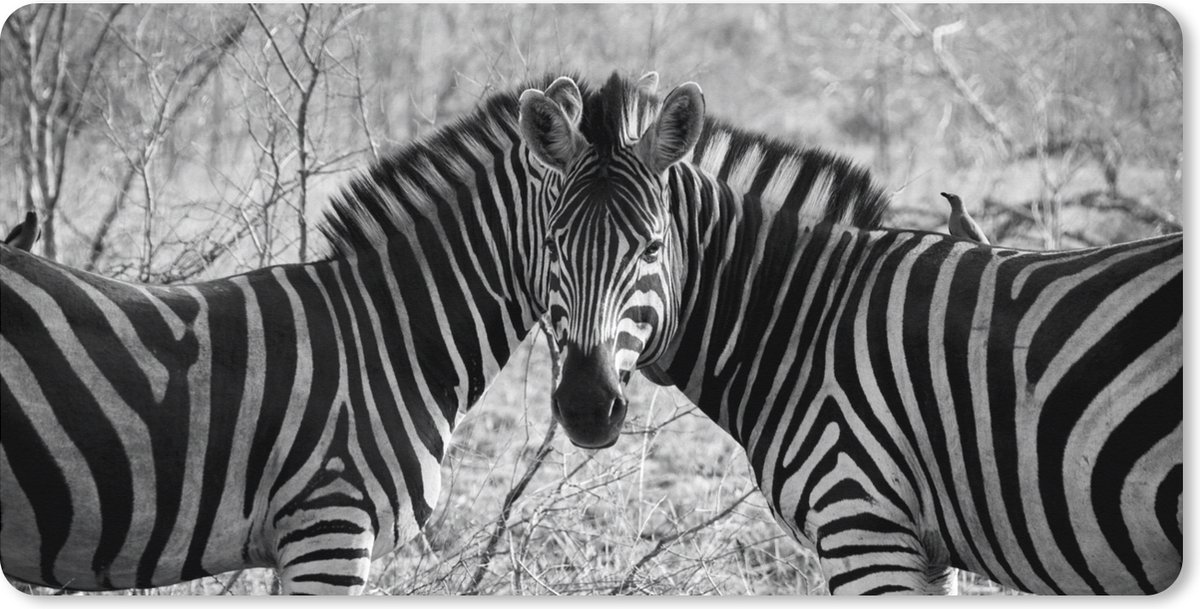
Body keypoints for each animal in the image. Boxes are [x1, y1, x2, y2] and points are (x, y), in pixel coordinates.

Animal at [0, 71, 881, 594]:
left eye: (652, 248)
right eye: (553, 245)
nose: (589, 407)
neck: (389, 335)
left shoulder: (310, 541)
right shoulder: (327, 527)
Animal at [518, 74, 1182, 594]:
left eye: (652, 249)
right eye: (550, 245)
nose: (585, 407)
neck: (805, 322)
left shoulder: (863, 525)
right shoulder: (928, 550)